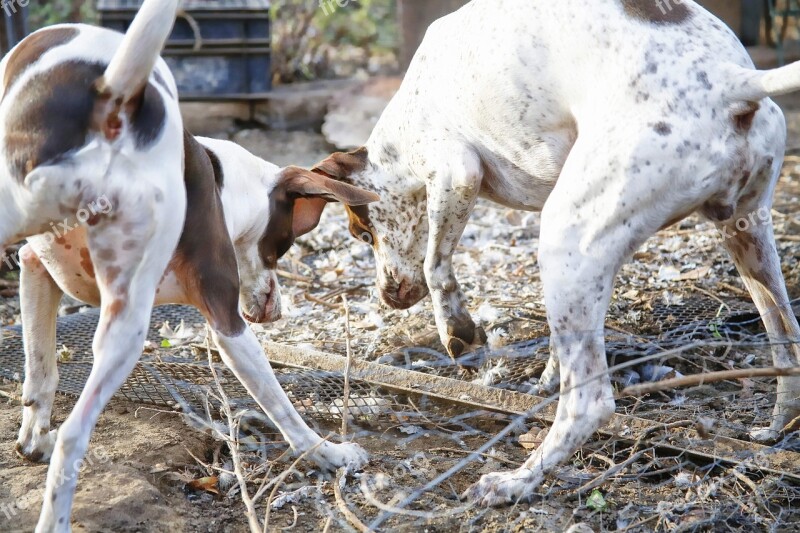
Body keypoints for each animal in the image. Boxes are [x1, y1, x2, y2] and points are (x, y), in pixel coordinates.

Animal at [0, 2, 376, 528]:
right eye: (284, 245)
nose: (276, 311)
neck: (223, 180)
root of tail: (113, 96)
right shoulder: (226, 321)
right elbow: (281, 406)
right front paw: (328, 453)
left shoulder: (35, 268)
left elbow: (41, 377)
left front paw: (33, 441)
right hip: (130, 325)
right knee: (77, 436)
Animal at [310, 0, 800, 508]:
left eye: (362, 234)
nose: (387, 297)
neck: (402, 131)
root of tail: (728, 80)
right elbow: (552, 341)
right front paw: (544, 375)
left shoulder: (456, 172)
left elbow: (434, 265)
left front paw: (457, 330)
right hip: (744, 239)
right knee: (787, 342)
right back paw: (774, 431)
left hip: (566, 234)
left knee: (590, 403)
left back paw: (517, 480)